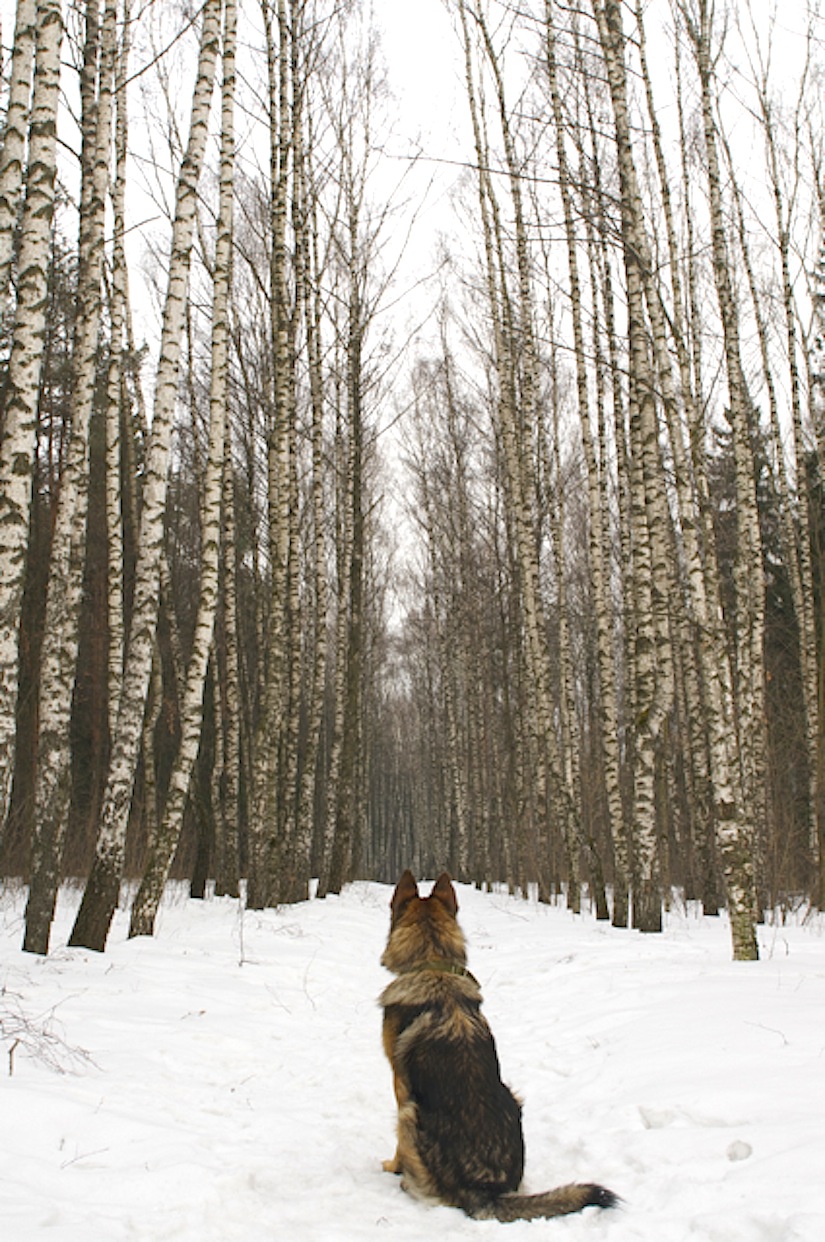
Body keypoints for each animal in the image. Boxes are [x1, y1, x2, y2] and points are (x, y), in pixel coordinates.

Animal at [377, 874, 616, 1222]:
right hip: (513, 1096)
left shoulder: (400, 1085)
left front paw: (393, 1166)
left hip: (411, 1113)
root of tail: (487, 1190)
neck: (433, 965)